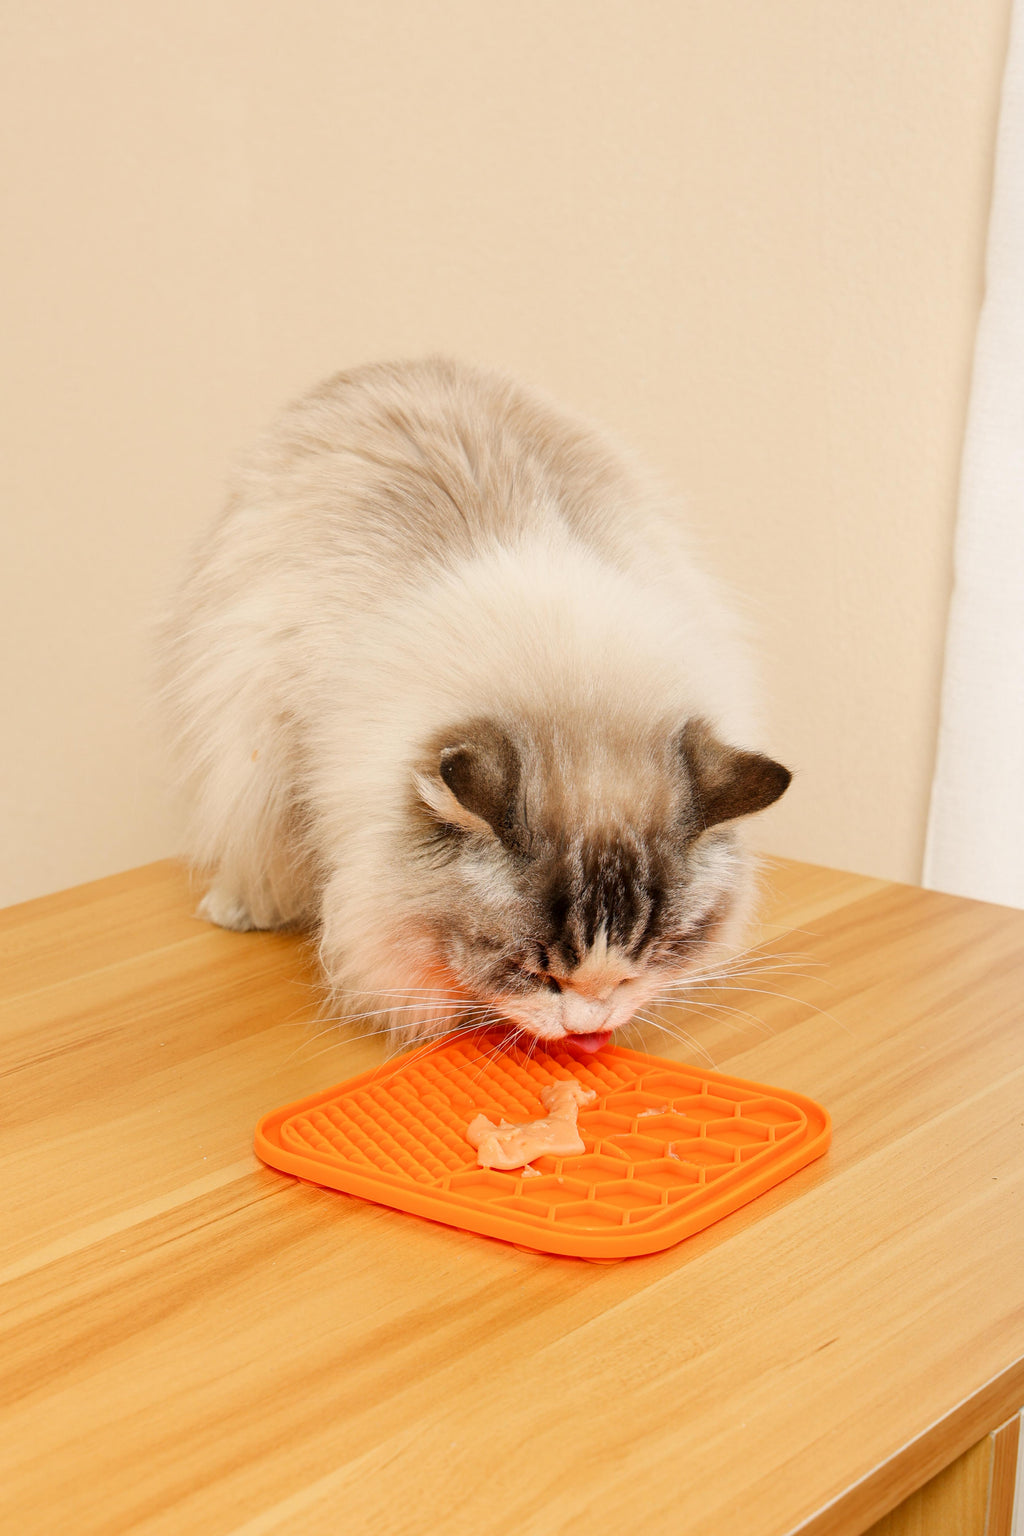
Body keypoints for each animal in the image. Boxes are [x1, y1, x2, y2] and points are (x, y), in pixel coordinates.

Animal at [156, 359, 792, 1056]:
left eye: (648, 959)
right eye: (532, 970)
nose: (589, 1027)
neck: (565, 673)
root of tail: (402, 364)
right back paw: (242, 908)